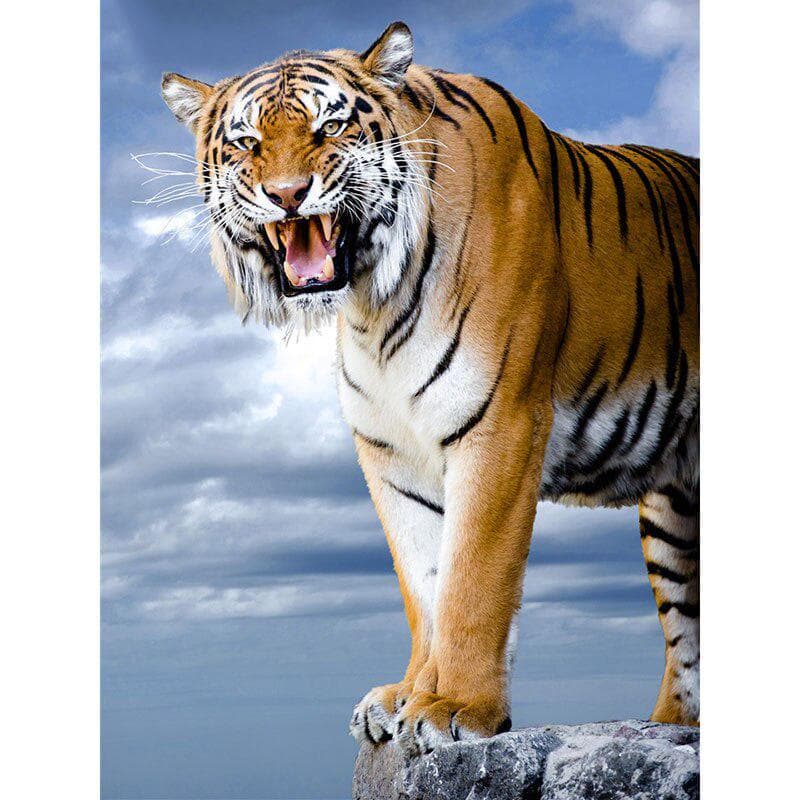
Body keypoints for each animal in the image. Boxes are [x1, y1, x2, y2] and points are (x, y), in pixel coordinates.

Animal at [161, 20, 699, 756]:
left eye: (331, 127)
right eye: (247, 143)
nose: (288, 193)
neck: (372, 303)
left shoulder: (499, 425)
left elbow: (474, 580)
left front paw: (458, 708)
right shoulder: (391, 453)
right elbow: (425, 586)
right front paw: (407, 695)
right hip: (674, 511)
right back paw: (671, 727)